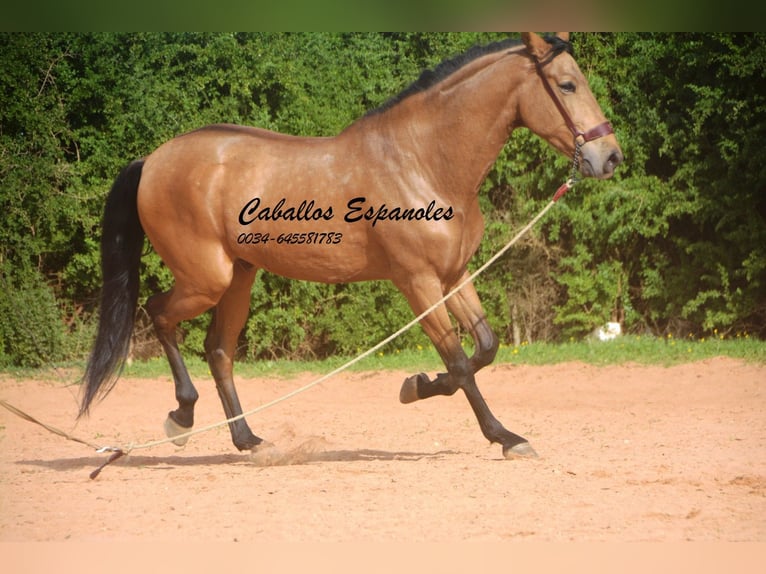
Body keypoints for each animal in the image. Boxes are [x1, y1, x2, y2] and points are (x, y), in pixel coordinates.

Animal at [81, 33, 628, 462]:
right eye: (567, 85)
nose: (609, 157)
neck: (423, 162)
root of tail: (153, 160)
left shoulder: (454, 276)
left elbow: (485, 348)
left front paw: (417, 386)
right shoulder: (417, 282)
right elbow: (457, 360)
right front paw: (504, 436)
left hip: (239, 277)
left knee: (218, 351)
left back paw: (249, 441)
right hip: (205, 278)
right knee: (160, 314)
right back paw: (182, 417)